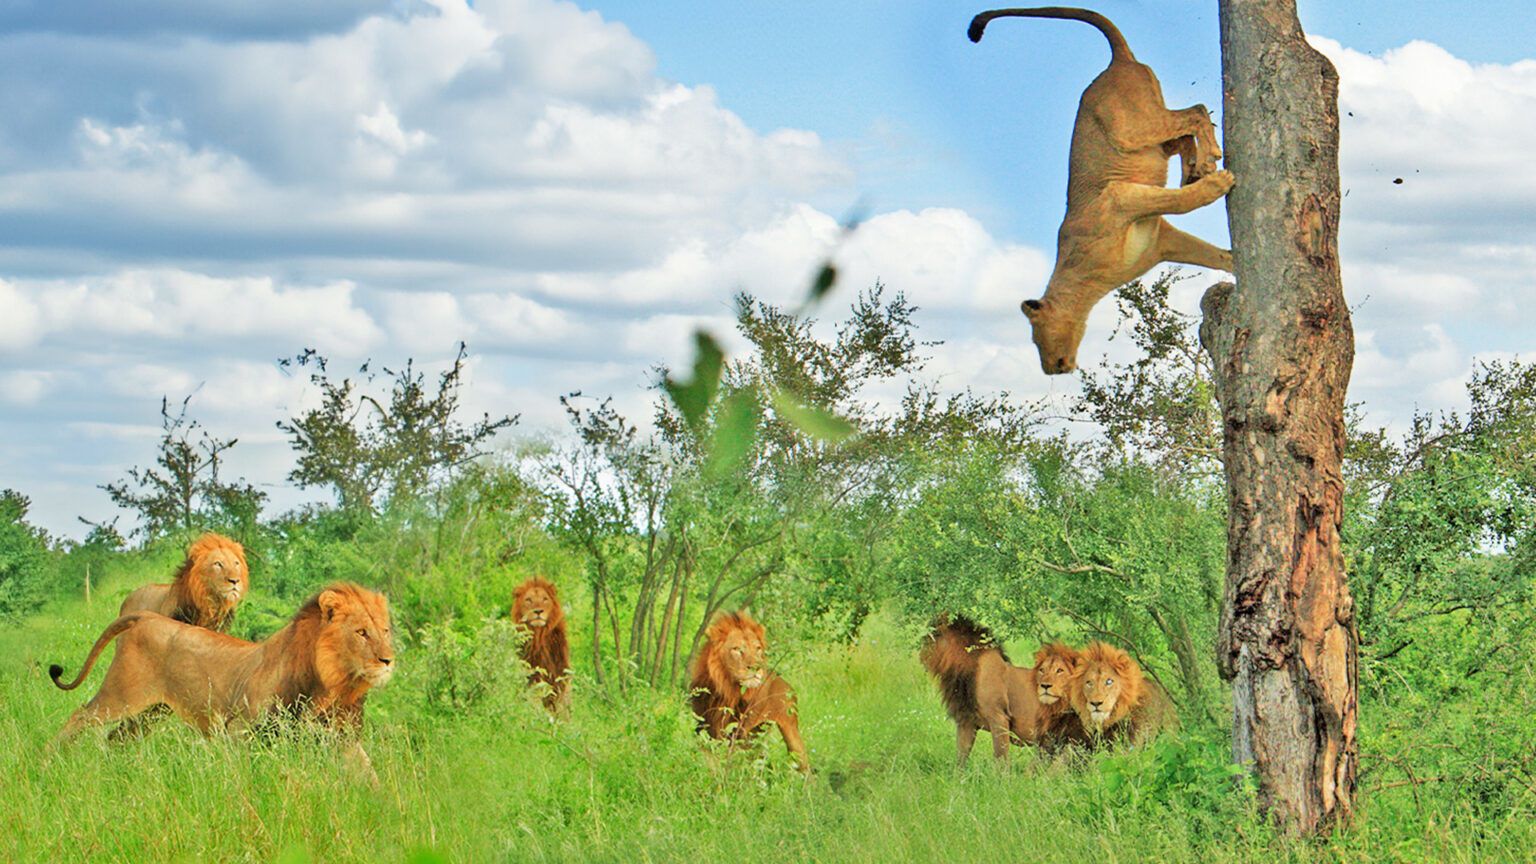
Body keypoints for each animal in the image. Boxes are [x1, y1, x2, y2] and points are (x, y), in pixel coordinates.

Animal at [688, 608, 811, 768]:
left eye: (758, 649)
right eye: (737, 649)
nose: (756, 668)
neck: (726, 689)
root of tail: (786, 684)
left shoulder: (739, 731)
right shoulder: (703, 726)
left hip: (789, 732)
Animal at [970, 6, 1234, 372]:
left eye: (1036, 340)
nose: (1051, 369)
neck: (1089, 286)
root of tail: (1117, 62)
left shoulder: (1117, 197)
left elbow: (1180, 204)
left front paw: (1220, 184)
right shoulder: (1163, 243)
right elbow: (1211, 253)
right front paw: (1235, 263)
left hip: (1131, 128)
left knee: (1194, 112)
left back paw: (1209, 159)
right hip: (1150, 134)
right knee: (1183, 133)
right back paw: (1193, 169)